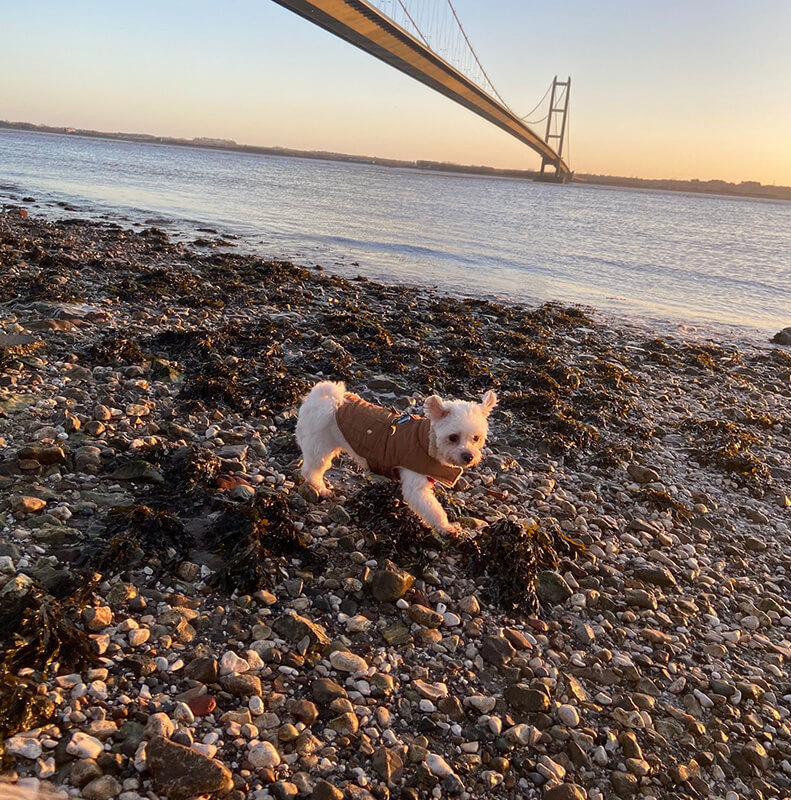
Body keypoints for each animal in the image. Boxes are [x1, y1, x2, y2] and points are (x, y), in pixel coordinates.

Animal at [295, 381, 497, 535]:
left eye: (476, 438)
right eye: (453, 437)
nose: (468, 456)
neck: (427, 442)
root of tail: (322, 398)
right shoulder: (416, 487)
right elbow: (433, 510)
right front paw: (445, 527)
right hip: (320, 446)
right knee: (310, 470)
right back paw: (321, 489)